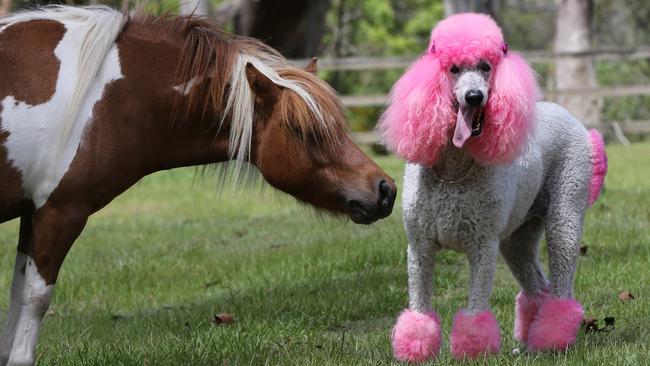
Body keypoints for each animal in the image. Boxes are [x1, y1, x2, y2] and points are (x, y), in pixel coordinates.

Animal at [0, 6, 394, 366]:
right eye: (304, 130)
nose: (385, 189)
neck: (107, 96)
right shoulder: (60, 212)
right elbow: (34, 299)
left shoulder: (33, 214)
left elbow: (17, 294)